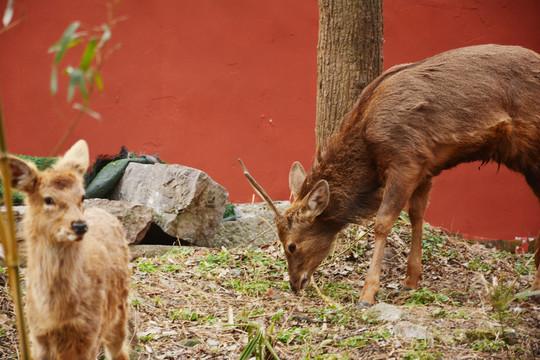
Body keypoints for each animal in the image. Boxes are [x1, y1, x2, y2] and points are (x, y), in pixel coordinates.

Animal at [8, 140, 131, 360]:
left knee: (121, 350)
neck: (58, 316)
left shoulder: (90, 334)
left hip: (118, 310)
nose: (80, 225)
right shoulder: (38, 335)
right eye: (48, 199)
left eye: (82, 196)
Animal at [240, 43, 540, 306]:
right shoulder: (426, 164)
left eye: (291, 246)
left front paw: (367, 295)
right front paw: (410, 281)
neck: (369, 151)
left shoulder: (405, 159)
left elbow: (382, 222)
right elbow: (417, 213)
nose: (295, 284)